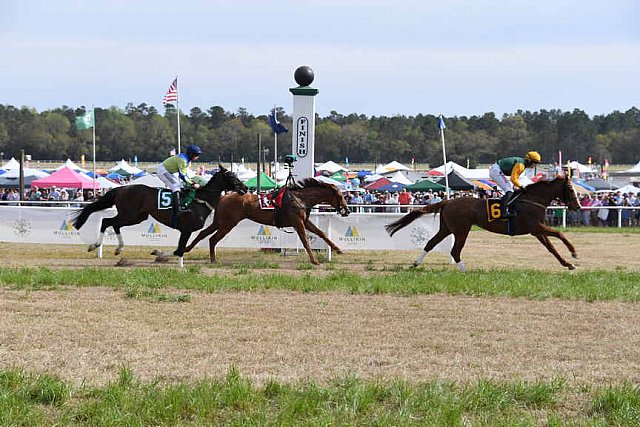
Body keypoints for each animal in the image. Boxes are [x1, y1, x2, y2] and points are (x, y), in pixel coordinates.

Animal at [72, 166, 248, 260]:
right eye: (231, 176)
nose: (245, 188)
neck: (200, 200)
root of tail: (122, 188)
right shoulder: (186, 229)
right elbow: (179, 250)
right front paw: (159, 253)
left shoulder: (186, 230)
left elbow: (179, 250)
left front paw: (158, 253)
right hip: (129, 214)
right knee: (107, 221)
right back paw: (95, 245)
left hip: (137, 217)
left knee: (114, 224)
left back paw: (118, 249)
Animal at [182, 177, 352, 264]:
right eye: (340, 196)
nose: (347, 210)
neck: (300, 198)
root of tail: (223, 197)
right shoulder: (297, 222)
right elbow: (305, 240)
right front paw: (314, 260)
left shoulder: (304, 221)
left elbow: (321, 233)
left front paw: (338, 249)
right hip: (228, 223)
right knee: (213, 238)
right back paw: (212, 259)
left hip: (220, 222)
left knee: (203, 234)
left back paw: (188, 249)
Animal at [388, 176, 584, 270]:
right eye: (570, 189)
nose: (578, 206)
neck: (532, 200)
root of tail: (448, 201)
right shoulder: (536, 226)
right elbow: (559, 233)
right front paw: (574, 253)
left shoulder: (537, 230)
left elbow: (552, 248)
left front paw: (568, 264)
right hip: (461, 229)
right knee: (455, 250)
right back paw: (465, 270)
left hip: (447, 228)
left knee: (431, 243)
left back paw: (416, 263)